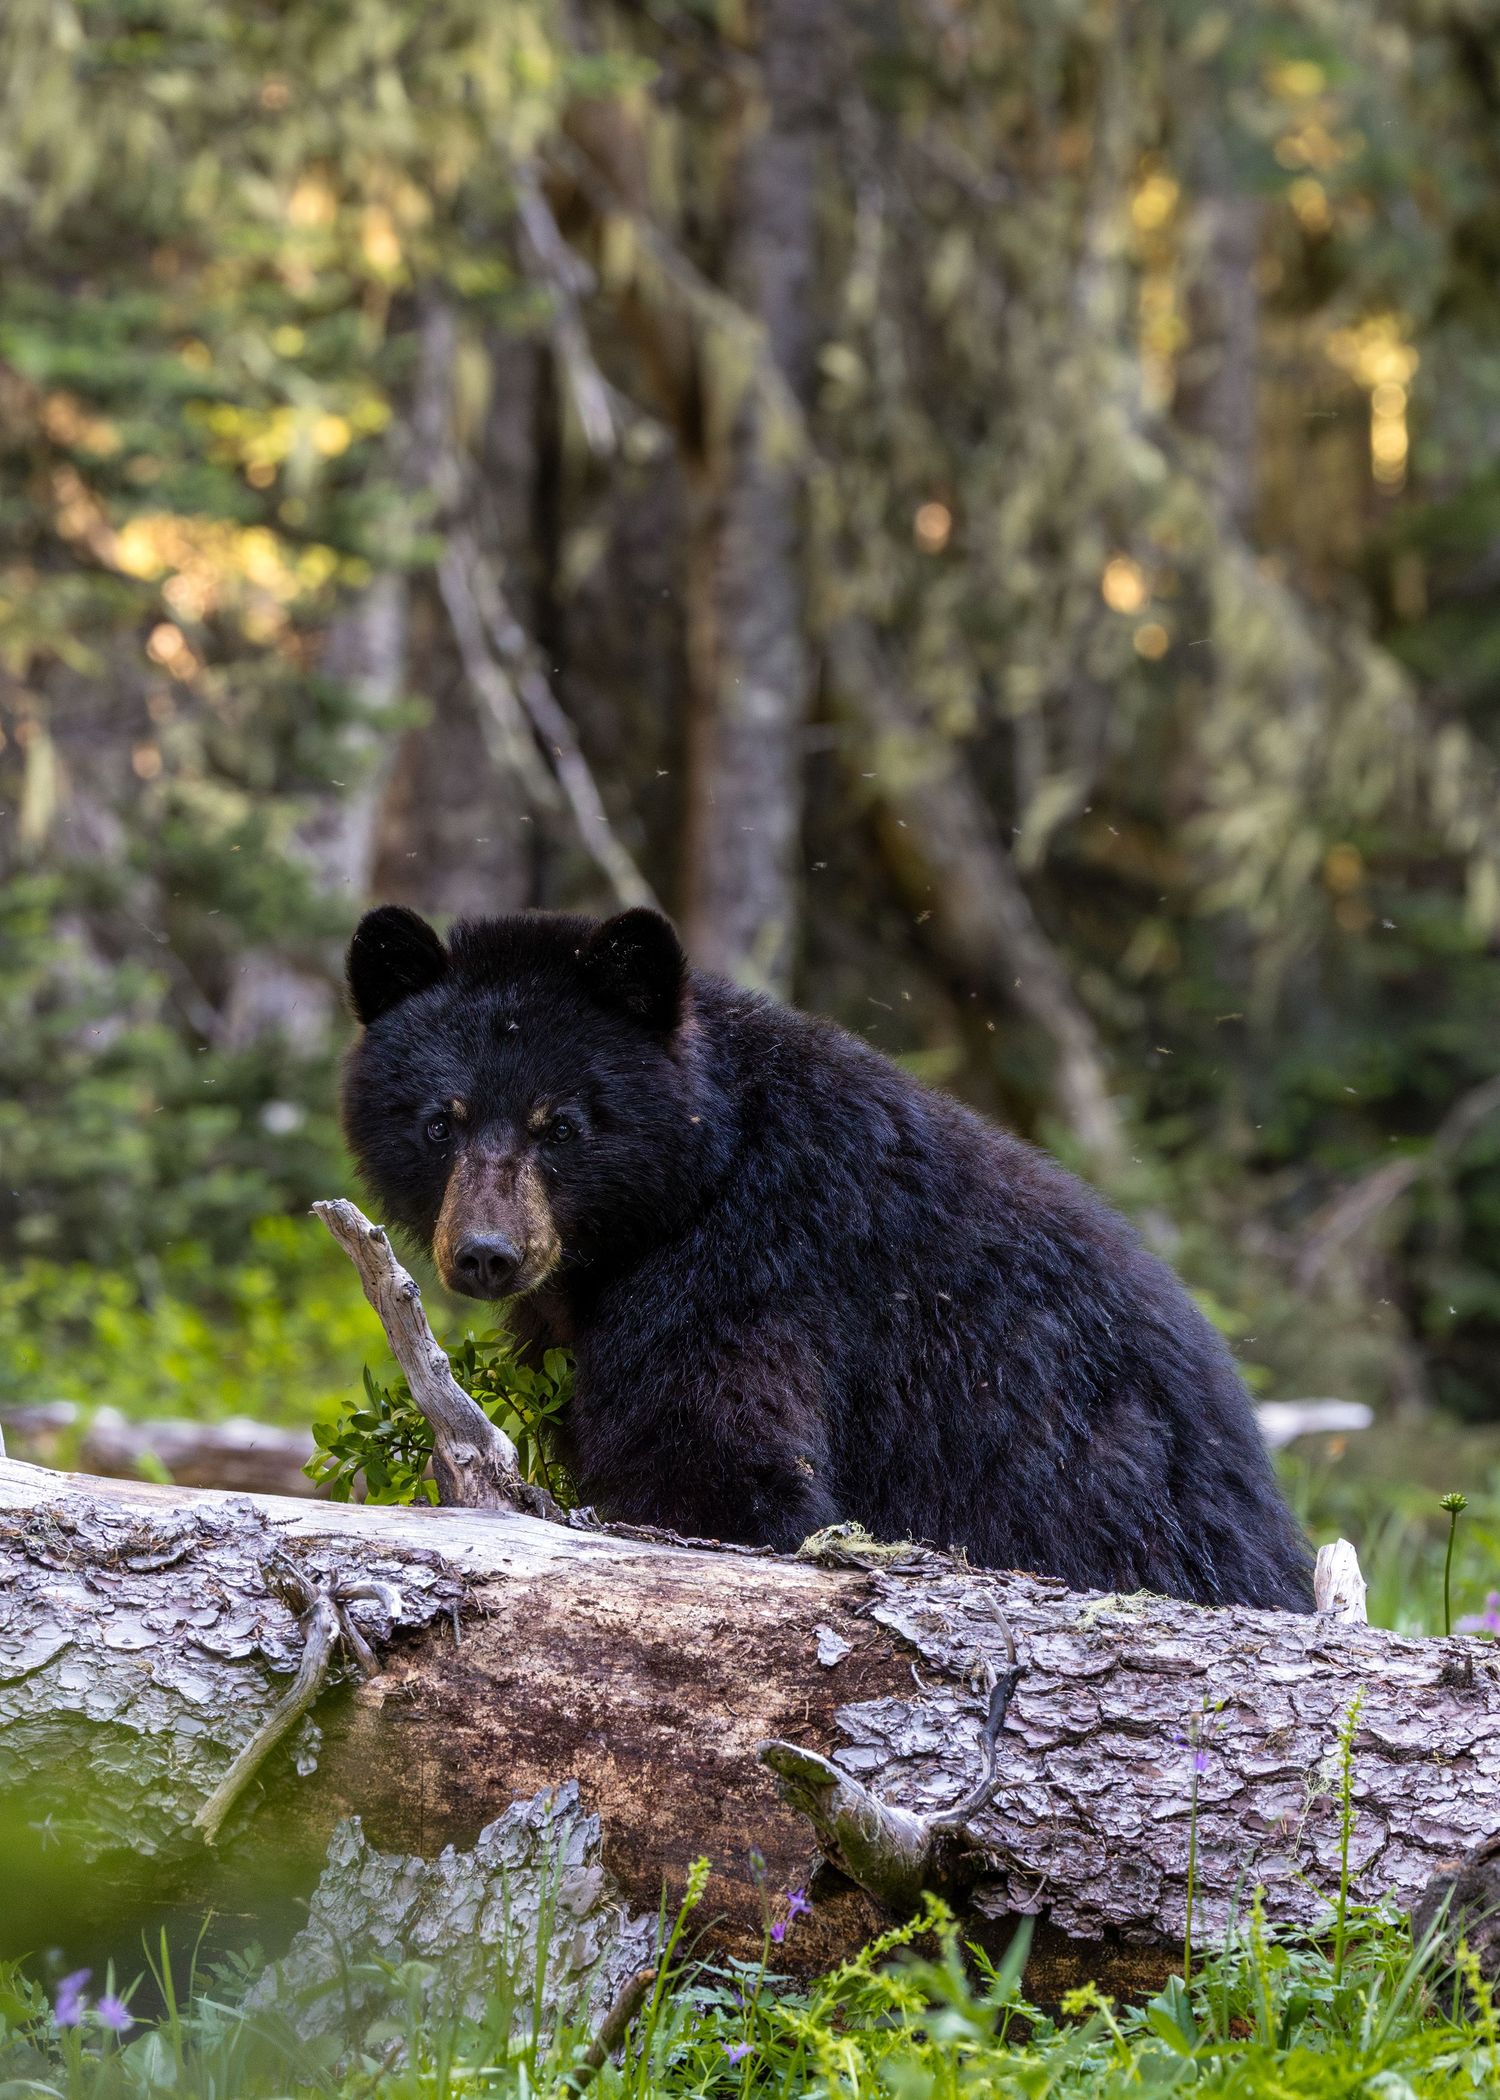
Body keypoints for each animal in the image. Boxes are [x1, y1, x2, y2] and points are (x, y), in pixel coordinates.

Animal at [341, 902, 1314, 1612]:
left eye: (563, 1124)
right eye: (441, 1121)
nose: (486, 1255)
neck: (698, 1179)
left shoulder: (755, 1270)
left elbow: (727, 1468)